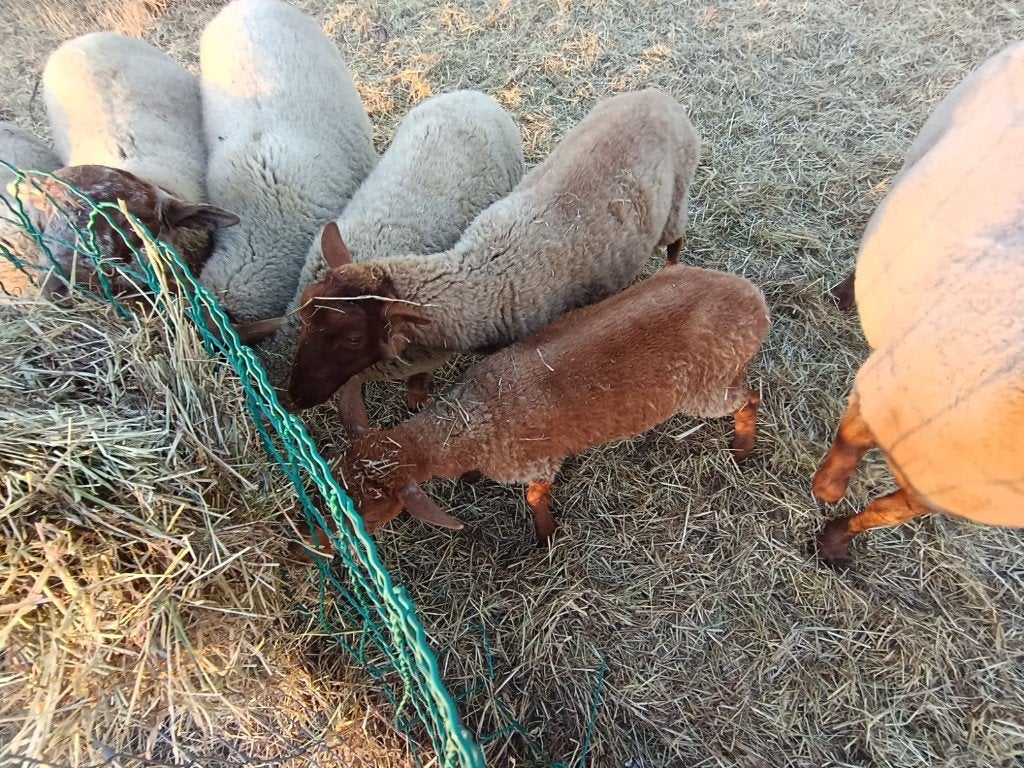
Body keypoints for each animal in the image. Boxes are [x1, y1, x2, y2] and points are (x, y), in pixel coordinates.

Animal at [244, 89, 525, 404]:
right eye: (305, 313)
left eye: (353, 339)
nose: (296, 397)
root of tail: (472, 94)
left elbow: (419, 376)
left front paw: (416, 396)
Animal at [331, 264, 768, 545]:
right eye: (335, 478)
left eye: (371, 510)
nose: (324, 545)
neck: (474, 417)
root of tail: (755, 300)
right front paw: (471, 479)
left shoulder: (538, 463)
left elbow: (534, 499)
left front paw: (546, 538)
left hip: (708, 389)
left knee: (750, 399)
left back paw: (741, 452)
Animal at [812, 41, 1024, 561]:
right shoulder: (877, 393)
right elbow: (846, 450)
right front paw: (825, 491)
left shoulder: (940, 493)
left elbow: (884, 513)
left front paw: (834, 540)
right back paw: (845, 293)